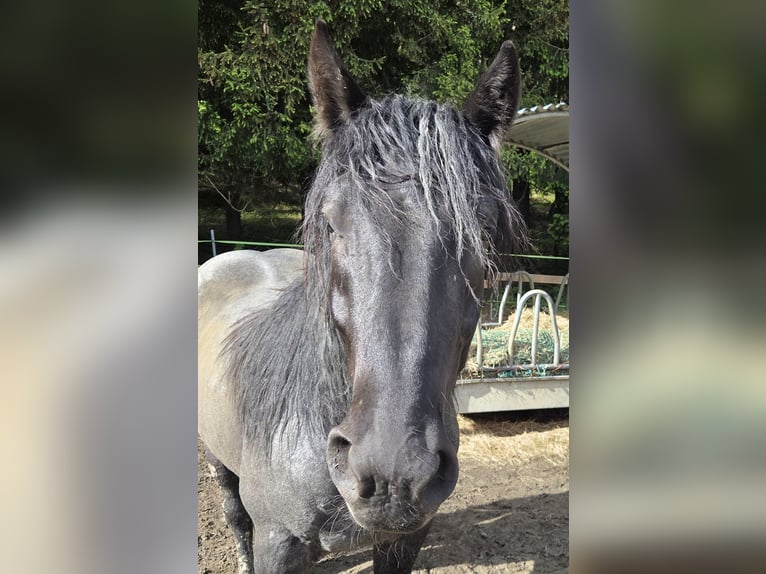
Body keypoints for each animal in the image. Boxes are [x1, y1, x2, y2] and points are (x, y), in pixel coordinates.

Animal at [198, 20, 526, 573]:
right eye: (332, 223)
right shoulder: (277, 541)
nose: (393, 473)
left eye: (485, 234)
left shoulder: (405, 537)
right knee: (233, 512)